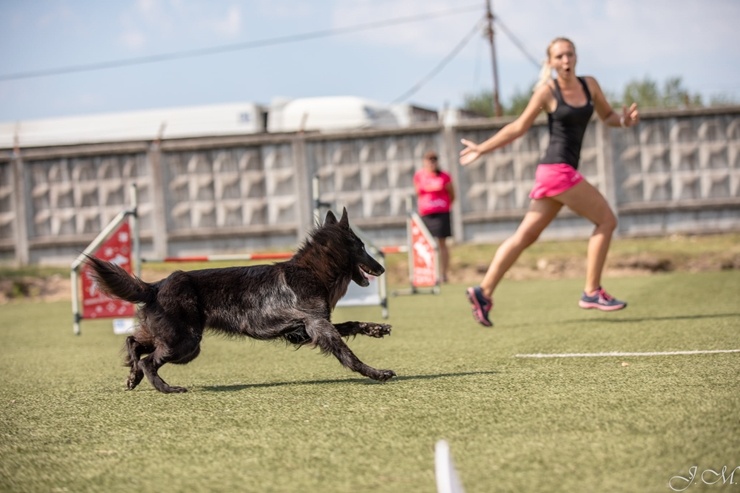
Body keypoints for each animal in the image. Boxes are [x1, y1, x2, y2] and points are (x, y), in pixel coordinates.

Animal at [86, 208, 396, 392]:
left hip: (174, 339)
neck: (312, 271)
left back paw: (132, 375)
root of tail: (155, 286)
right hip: (185, 344)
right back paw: (166, 388)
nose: (382, 268)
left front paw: (376, 328)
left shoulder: (306, 330)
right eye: (362, 247)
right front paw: (375, 372)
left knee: (134, 343)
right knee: (149, 361)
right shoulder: (317, 326)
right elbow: (347, 353)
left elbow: (352, 324)